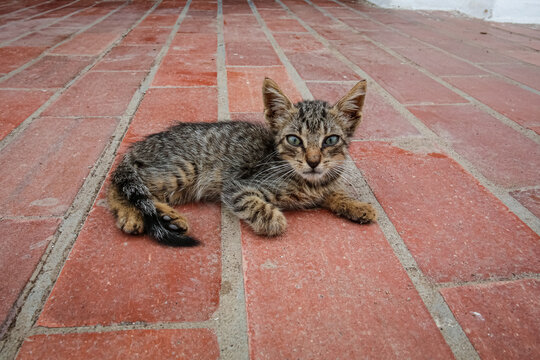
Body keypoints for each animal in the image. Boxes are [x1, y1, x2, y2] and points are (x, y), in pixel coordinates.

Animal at [105, 78, 376, 248]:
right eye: (293, 140)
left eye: (330, 140)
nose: (313, 161)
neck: (309, 182)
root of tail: (141, 145)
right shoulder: (237, 186)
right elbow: (254, 204)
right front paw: (274, 220)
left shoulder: (323, 185)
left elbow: (334, 193)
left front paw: (357, 205)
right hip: (182, 169)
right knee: (118, 186)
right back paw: (133, 215)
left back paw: (168, 217)